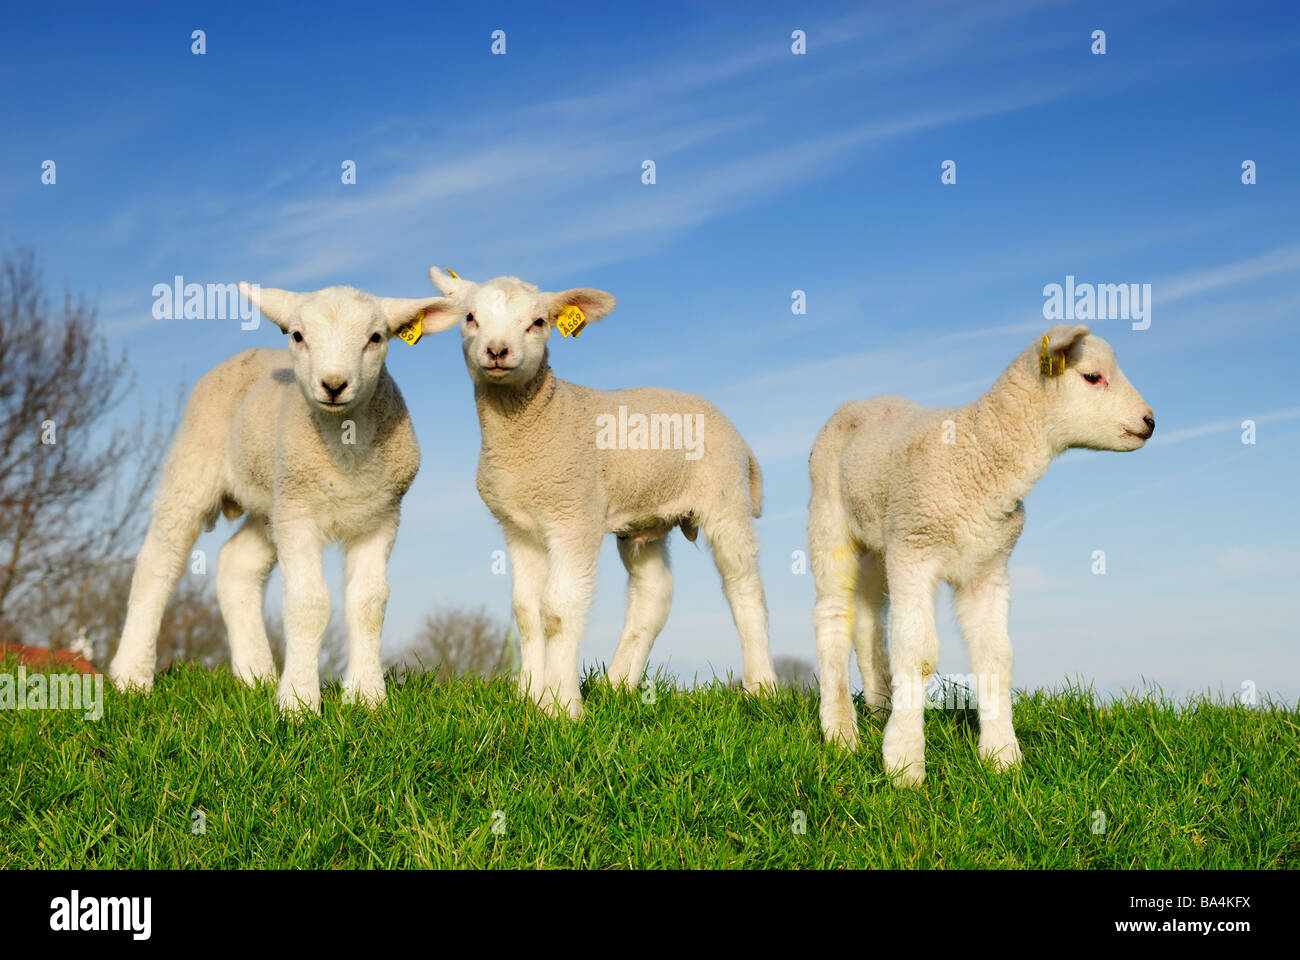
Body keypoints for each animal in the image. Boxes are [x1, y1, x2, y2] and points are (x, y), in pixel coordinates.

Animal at [108, 283, 462, 713]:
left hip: (270, 503)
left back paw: (255, 675)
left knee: (236, 564)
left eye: (376, 337)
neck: (345, 448)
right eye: (297, 335)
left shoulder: (381, 515)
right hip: (197, 466)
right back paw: (131, 675)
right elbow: (308, 603)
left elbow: (369, 602)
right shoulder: (299, 514)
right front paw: (299, 702)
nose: (333, 384)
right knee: (158, 562)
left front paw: (366, 696)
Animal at [428, 266, 777, 718]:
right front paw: (529, 697)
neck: (539, 422)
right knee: (653, 595)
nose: (497, 350)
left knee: (744, 587)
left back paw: (762, 688)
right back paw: (618, 685)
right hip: (645, 518)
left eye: (538, 322)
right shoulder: (518, 526)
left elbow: (558, 610)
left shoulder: (575, 514)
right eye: (470, 317)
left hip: (725, 499)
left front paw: (561, 706)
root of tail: (736, 434)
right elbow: (526, 611)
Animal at [808, 324, 1154, 786]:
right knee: (832, 614)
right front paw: (905, 762)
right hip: (830, 518)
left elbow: (996, 657)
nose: (1150, 422)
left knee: (867, 614)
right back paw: (841, 730)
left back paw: (880, 706)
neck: (979, 451)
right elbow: (918, 653)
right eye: (1093, 377)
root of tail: (863, 401)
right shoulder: (915, 551)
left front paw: (1002, 756)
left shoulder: (986, 567)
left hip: (882, 539)